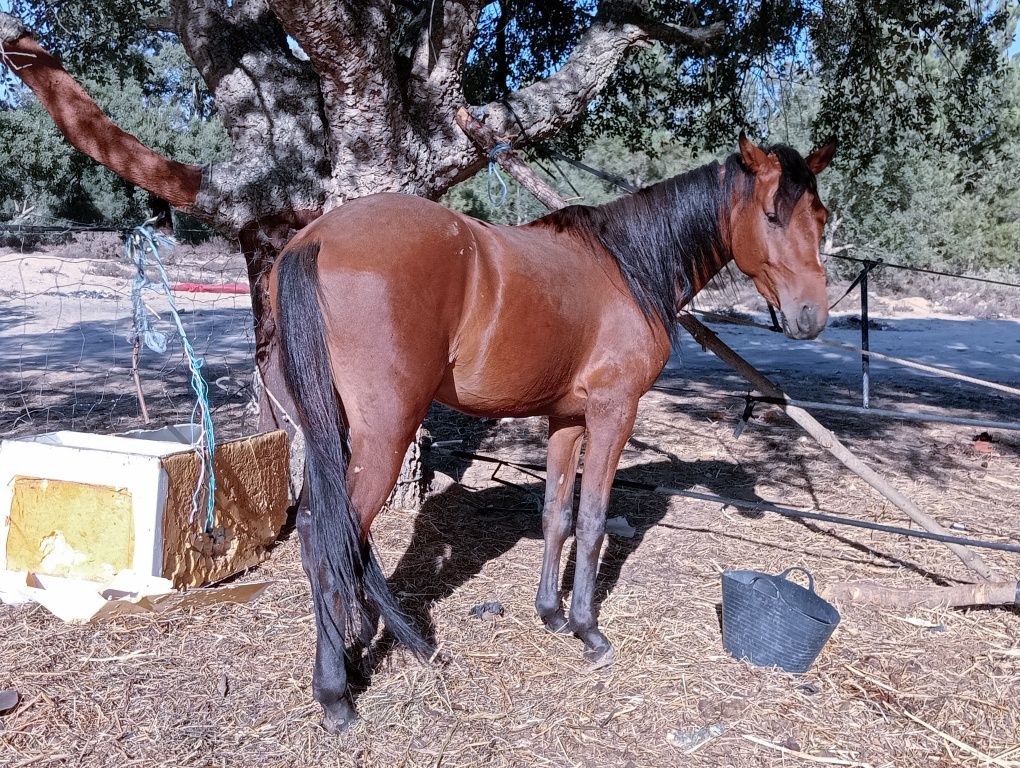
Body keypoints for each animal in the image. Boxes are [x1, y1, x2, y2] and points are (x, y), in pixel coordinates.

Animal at [271, 134, 836, 726]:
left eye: (819, 216)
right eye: (771, 215)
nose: (811, 316)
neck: (624, 267)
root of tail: (315, 240)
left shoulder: (566, 420)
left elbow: (556, 515)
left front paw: (553, 615)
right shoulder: (614, 412)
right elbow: (591, 522)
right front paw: (589, 632)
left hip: (326, 429)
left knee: (317, 531)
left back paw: (353, 655)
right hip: (383, 434)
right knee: (331, 539)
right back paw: (336, 695)